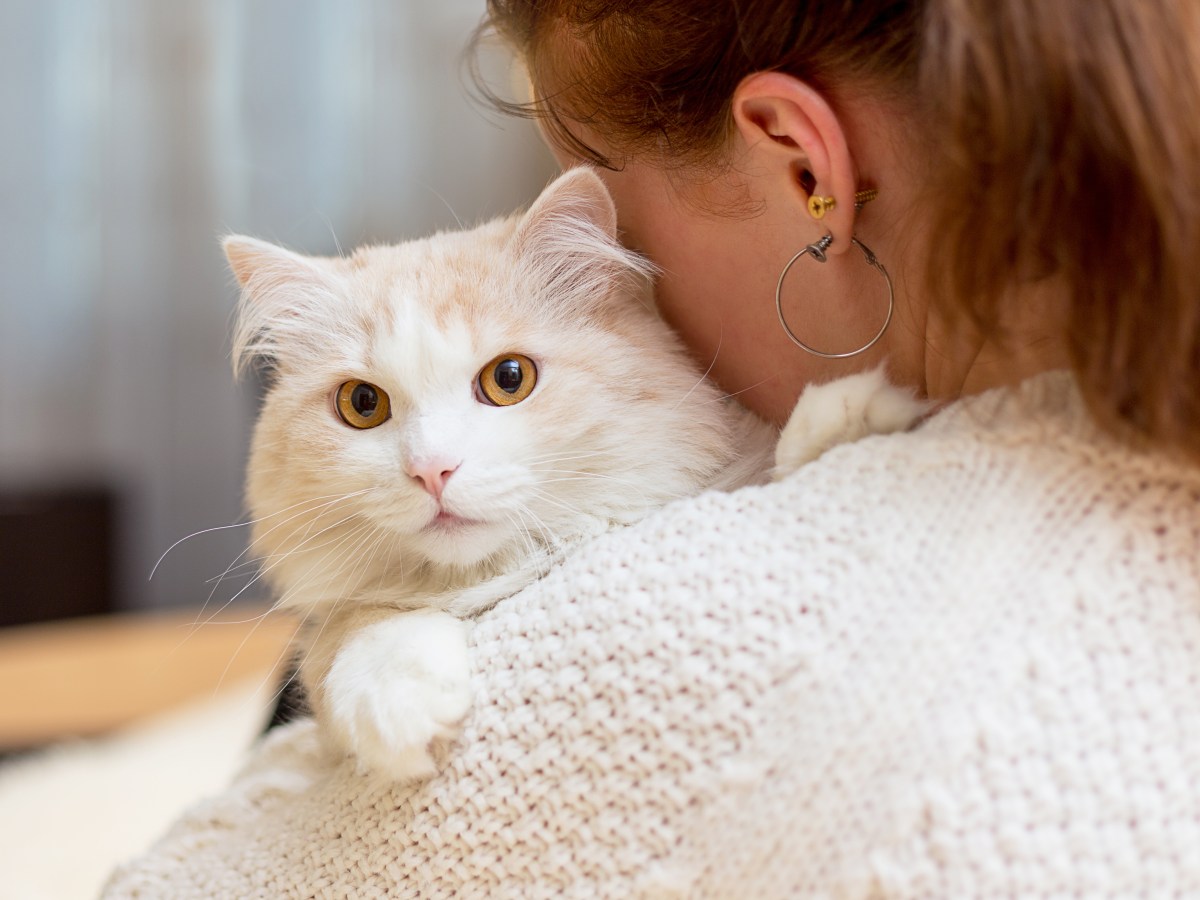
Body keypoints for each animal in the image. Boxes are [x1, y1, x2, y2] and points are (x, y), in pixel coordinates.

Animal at [225, 165, 921, 777]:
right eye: (362, 405)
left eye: (509, 379)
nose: (432, 470)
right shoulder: (338, 631)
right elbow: (357, 630)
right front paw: (397, 703)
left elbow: (784, 457)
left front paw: (859, 418)